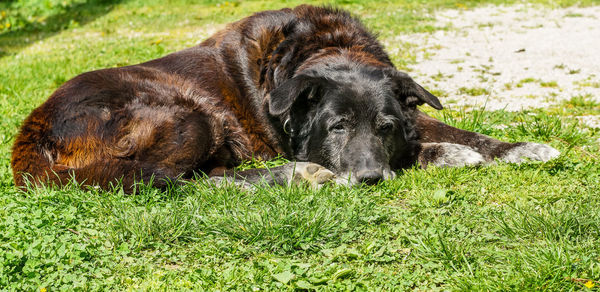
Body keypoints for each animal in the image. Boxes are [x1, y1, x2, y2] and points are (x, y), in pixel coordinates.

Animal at [10, 5, 564, 192]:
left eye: (384, 126)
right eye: (336, 126)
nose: (368, 180)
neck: (325, 48)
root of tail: (28, 140)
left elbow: (446, 128)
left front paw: (514, 148)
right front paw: (442, 154)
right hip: (193, 117)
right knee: (182, 181)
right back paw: (300, 176)